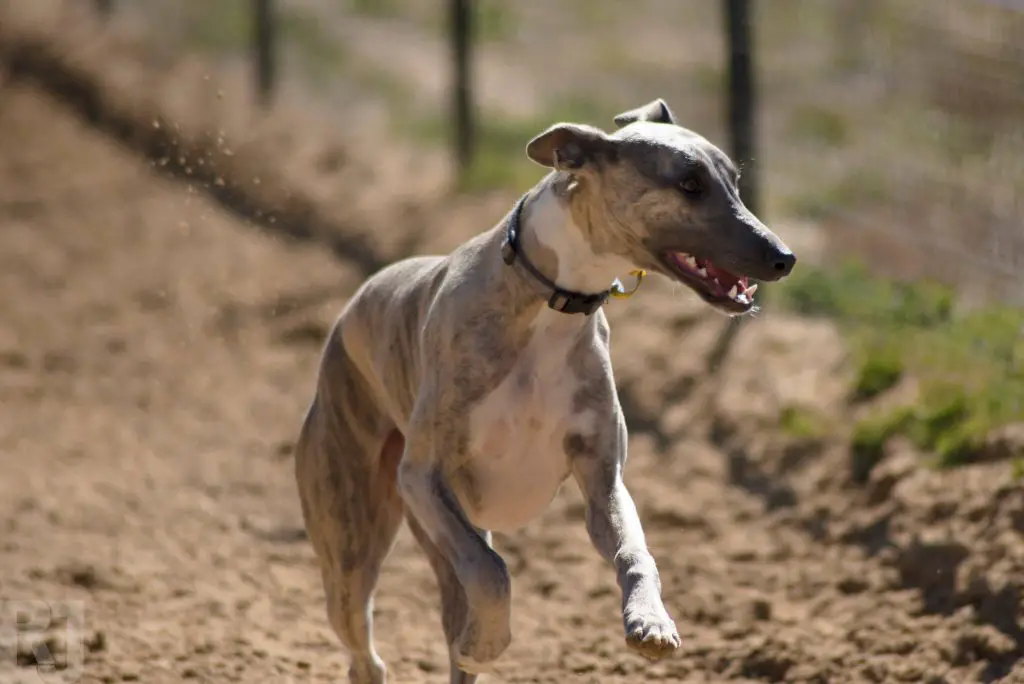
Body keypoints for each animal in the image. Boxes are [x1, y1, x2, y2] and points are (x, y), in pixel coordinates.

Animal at [292, 97, 794, 684]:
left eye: (734, 180)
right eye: (689, 183)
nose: (784, 257)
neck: (553, 302)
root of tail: (356, 301)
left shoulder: (602, 481)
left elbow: (635, 553)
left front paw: (651, 622)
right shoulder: (424, 475)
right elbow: (493, 572)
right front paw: (487, 644)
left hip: (433, 536)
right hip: (354, 538)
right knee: (364, 645)